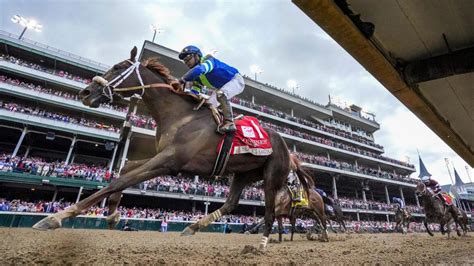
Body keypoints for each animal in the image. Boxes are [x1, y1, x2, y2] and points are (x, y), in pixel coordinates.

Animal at [31, 47, 302, 249]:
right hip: (243, 173)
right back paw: (192, 227)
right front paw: (112, 214)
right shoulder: (162, 156)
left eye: (118, 67)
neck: (180, 115)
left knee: (269, 211)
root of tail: (288, 148)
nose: (86, 93)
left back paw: (262, 243)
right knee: (231, 202)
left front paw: (56, 217)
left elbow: (119, 181)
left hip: (271, 177)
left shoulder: (169, 162)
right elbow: (126, 169)